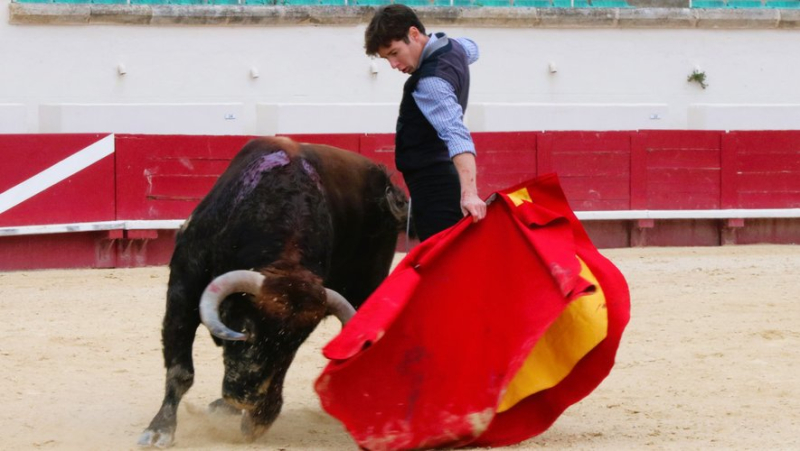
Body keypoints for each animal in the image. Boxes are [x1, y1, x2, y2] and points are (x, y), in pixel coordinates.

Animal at [137, 138, 406, 448]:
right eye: (246, 327)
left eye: (296, 343)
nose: (245, 398)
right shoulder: (183, 291)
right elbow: (180, 369)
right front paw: (160, 430)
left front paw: (258, 421)